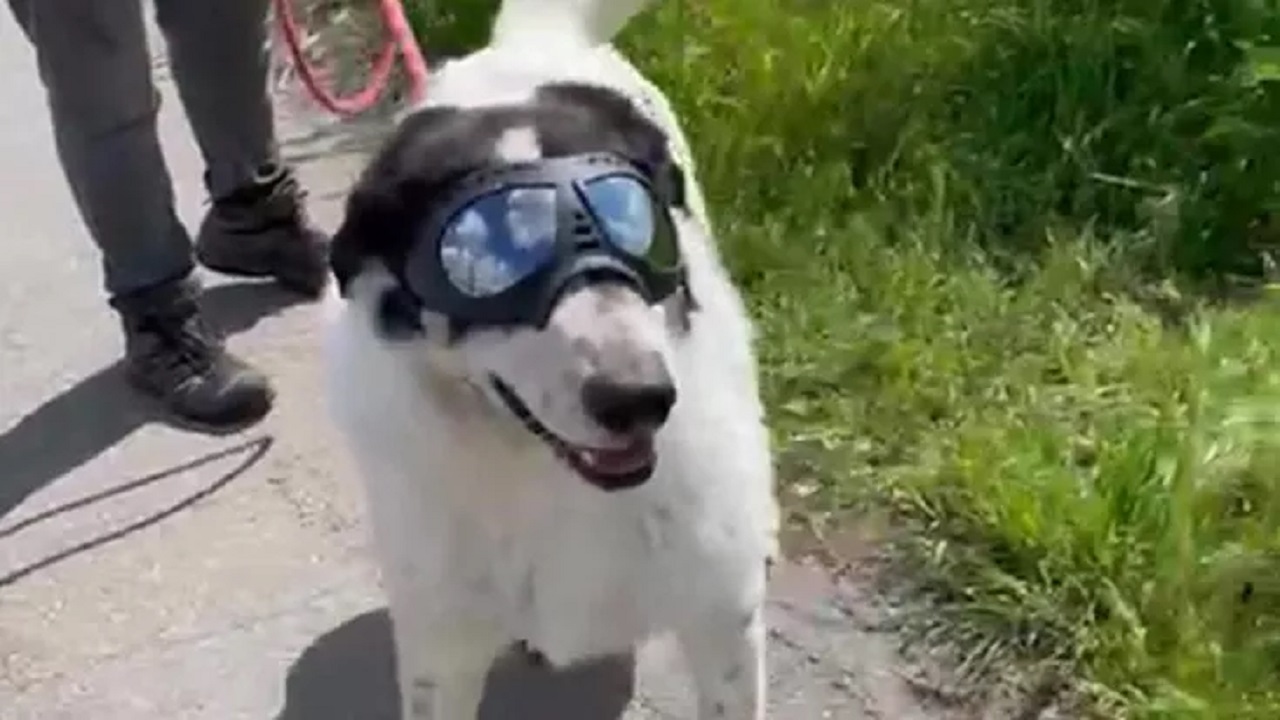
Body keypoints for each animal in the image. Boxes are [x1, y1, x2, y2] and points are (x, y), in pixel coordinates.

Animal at [320, 2, 778, 712]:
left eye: (635, 222)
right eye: (486, 259)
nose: (639, 398)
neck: (546, 477)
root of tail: (529, 40)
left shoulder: (722, 618)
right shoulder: (439, 649)